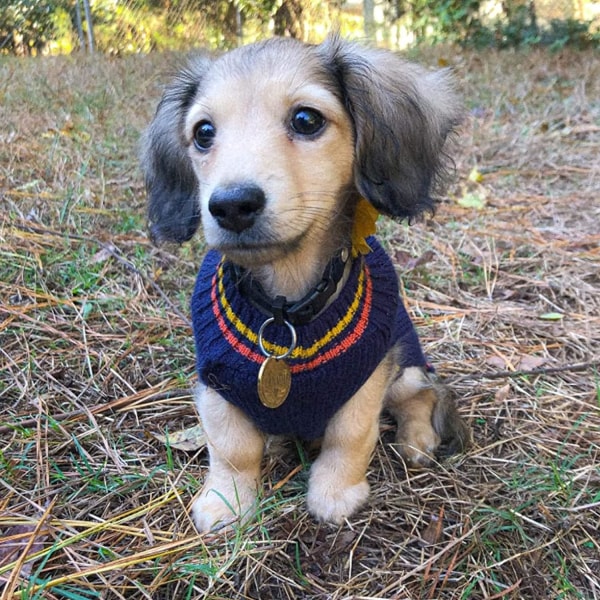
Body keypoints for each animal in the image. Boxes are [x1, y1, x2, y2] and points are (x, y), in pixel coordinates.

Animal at [143, 35, 472, 532]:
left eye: (306, 120)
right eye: (203, 132)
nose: (231, 205)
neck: (286, 309)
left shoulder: (367, 378)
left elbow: (350, 436)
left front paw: (335, 493)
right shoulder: (217, 385)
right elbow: (233, 448)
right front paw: (227, 501)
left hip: (405, 366)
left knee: (421, 396)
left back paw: (417, 440)